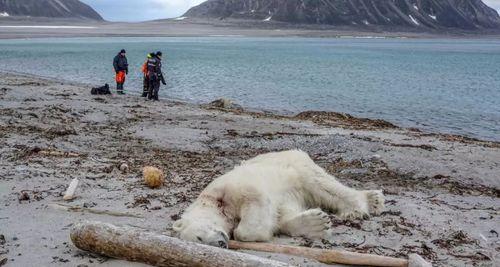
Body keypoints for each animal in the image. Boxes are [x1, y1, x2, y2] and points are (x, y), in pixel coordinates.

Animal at [174, 151, 384, 249]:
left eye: (199, 237)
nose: (220, 243)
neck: (214, 203)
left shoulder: (232, 188)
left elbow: (254, 205)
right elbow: (281, 215)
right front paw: (316, 223)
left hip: (296, 166)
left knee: (323, 185)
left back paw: (363, 205)